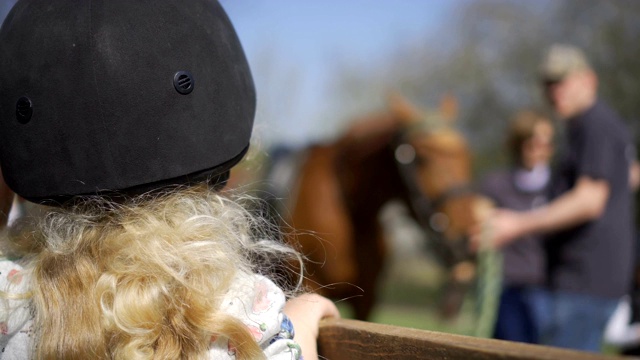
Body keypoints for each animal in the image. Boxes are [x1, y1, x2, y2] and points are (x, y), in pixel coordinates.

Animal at [274, 94, 480, 320]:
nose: (467, 240)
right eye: (422, 158)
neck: (352, 210)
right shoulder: (309, 288)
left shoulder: (367, 298)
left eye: (467, 156)